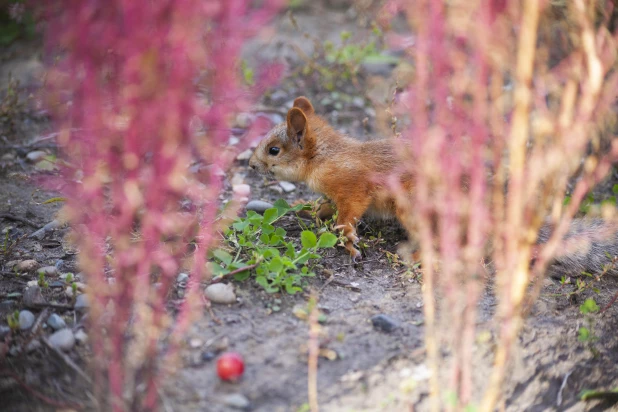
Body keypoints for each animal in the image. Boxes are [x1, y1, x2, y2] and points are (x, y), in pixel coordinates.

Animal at [249, 97, 616, 276]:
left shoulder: (353, 185)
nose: (250, 165)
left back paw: (417, 255)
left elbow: (348, 215)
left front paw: (349, 242)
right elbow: (326, 205)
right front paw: (311, 210)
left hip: (414, 206)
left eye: (274, 150)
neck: (327, 155)